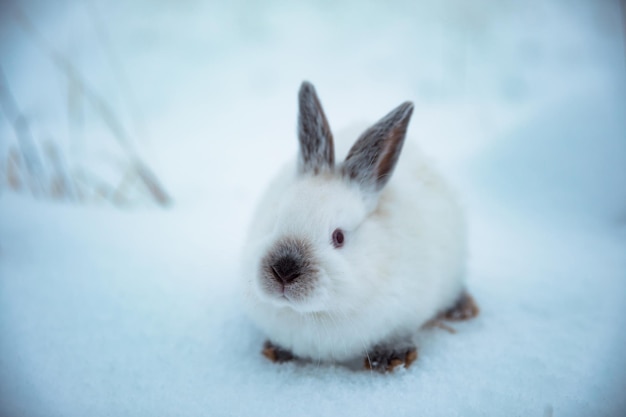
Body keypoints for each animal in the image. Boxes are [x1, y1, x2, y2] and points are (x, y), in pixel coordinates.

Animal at [241, 81, 476, 370]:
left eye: (339, 237)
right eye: (275, 220)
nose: (283, 272)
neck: (315, 314)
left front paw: (391, 358)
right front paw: (276, 350)